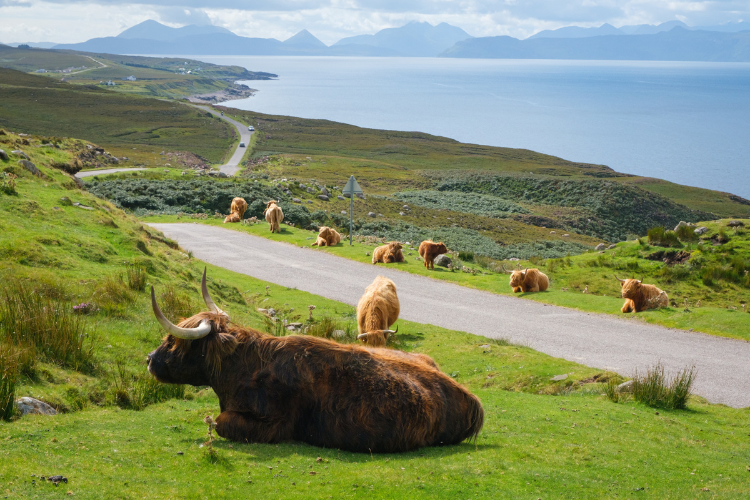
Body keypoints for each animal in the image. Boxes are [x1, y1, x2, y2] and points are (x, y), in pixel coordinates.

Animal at [145, 270, 488, 454]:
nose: (149, 360)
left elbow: (220, 422)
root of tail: (471, 399)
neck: (243, 370)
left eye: (174, 341)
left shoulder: (273, 425)